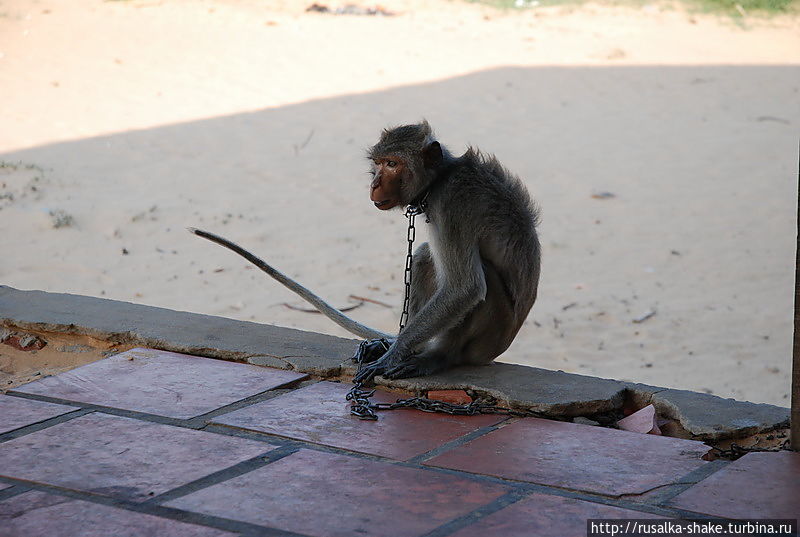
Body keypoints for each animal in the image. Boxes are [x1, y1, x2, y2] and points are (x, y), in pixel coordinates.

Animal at [191, 121, 540, 382]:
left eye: (392, 164)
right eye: (378, 164)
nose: (373, 184)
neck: (440, 178)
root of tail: (499, 347)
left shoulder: (452, 202)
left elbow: (464, 288)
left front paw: (393, 355)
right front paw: (392, 346)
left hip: (489, 336)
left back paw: (439, 355)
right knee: (424, 256)